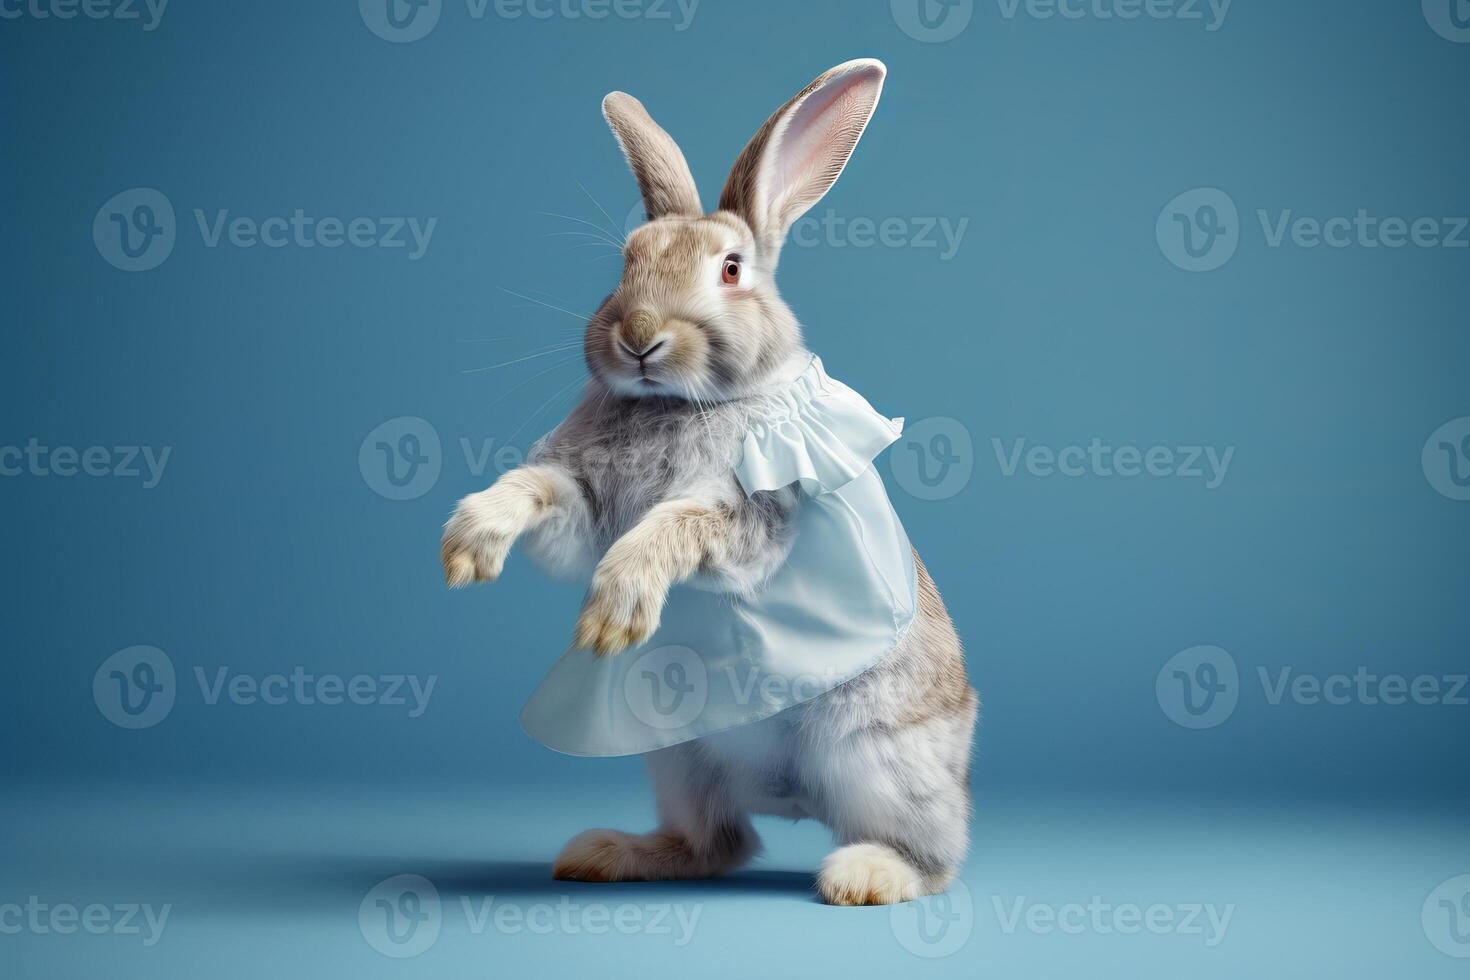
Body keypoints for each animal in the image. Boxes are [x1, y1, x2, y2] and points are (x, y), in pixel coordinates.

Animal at [441, 59, 981, 905]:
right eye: (626, 263)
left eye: (731, 269)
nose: (639, 337)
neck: (679, 402)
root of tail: (789, 798)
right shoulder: (584, 496)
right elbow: (540, 492)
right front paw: (469, 542)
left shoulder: (752, 510)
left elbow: (679, 524)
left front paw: (615, 611)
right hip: (677, 761)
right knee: (717, 844)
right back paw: (605, 852)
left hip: (879, 757)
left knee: (935, 854)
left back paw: (864, 875)